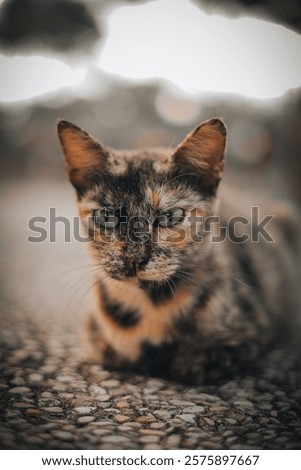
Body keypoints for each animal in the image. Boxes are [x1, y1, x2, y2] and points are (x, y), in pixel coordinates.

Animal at [57, 117, 296, 382]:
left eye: (170, 217)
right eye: (107, 217)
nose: (134, 258)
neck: (151, 304)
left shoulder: (249, 333)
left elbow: (196, 362)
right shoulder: (92, 330)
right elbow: (110, 350)